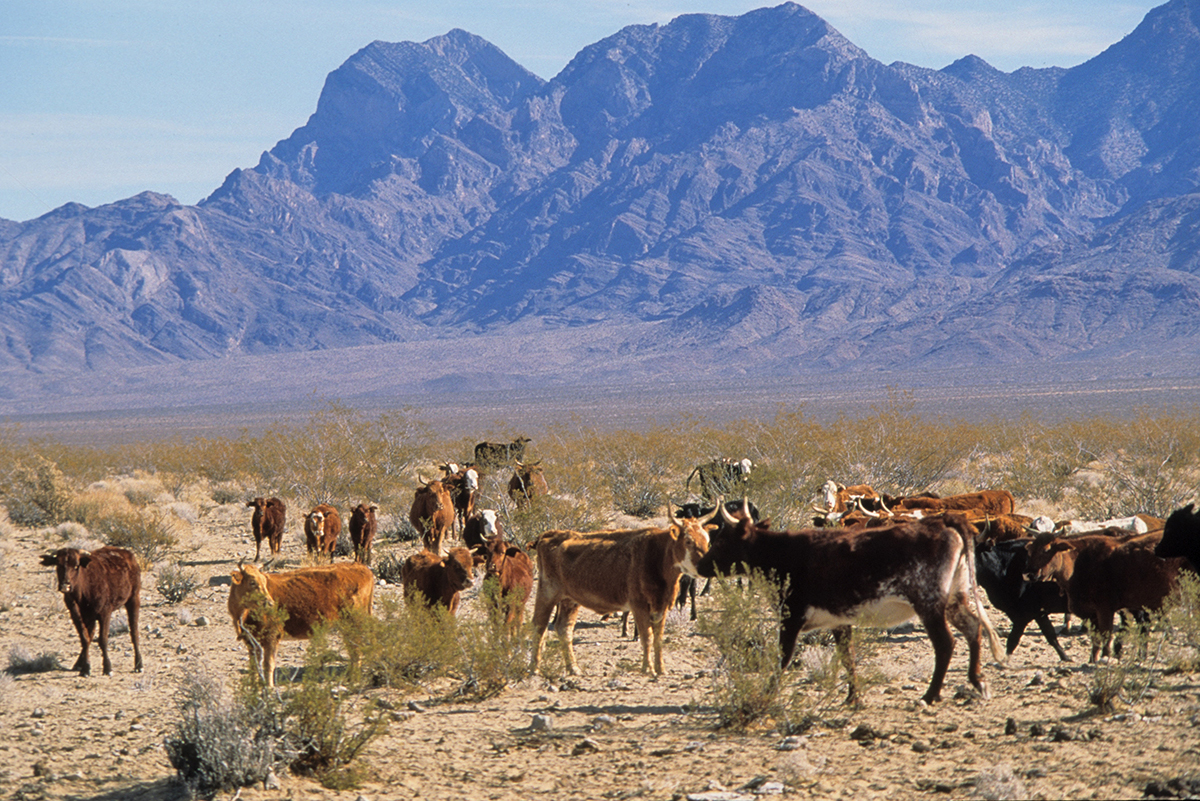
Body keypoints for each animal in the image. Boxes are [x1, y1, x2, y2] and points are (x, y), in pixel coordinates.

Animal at [40, 544, 144, 676]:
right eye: (58, 564)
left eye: (76, 566)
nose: (65, 585)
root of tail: (127, 554)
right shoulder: (76, 614)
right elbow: (85, 639)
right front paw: (85, 668)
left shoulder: (105, 613)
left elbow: (103, 640)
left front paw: (107, 668)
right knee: (90, 635)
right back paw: (78, 664)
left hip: (134, 598)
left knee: (134, 632)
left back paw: (139, 665)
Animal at [528, 506, 710, 676]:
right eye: (688, 541)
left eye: (707, 540)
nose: (706, 564)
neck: (658, 555)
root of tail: (548, 535)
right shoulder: (639, 605)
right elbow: (647, 637)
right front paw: (648, 669)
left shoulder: (661, 605)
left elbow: (658, 638)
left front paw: (661, 669)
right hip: (547, 593)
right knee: (539, 625)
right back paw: (534, 668)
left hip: (569, 600)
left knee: (564, 629)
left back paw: (573, 668)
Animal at [696, 510, 1003, 705]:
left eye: (721, 541)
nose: (700, 565)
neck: (780, 553)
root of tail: (942, 521)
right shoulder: (839, 621)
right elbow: (848, 656)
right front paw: (853, 697)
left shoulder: (790, 618)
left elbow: (782, 658)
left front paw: (766, 694)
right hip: (955, 598)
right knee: (973, 628)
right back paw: (978, 681)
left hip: (929, 603)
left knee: (945, 643)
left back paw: (930, 695)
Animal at [1022, 527, 1180, 661]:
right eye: (1031, 551)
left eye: (1046, 550)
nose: (1030, 574)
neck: (1078, 562)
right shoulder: (1092, 613)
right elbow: (1096, 638)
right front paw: (1093, 659)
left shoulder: (1105, 609)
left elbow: (1106, 635)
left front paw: (1106, 656)